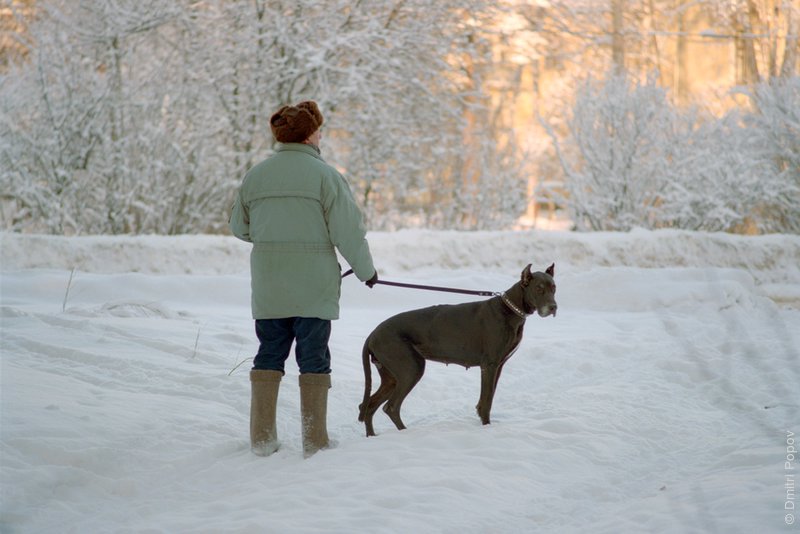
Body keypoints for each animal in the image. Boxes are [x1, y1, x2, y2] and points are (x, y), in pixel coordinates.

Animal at [358, 266, 556, 438]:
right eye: (539, 288)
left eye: (554, 288)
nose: (553, 307)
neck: (510, 308)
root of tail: (372, 335)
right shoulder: (489, 365)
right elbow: (486, 401)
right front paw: (486, 427)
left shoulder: (498, 366)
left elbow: (488, 398)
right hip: (410, 369)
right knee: (391, 407)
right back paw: (404, 433)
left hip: (391, 377)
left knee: (368, 405)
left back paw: (371, 436)